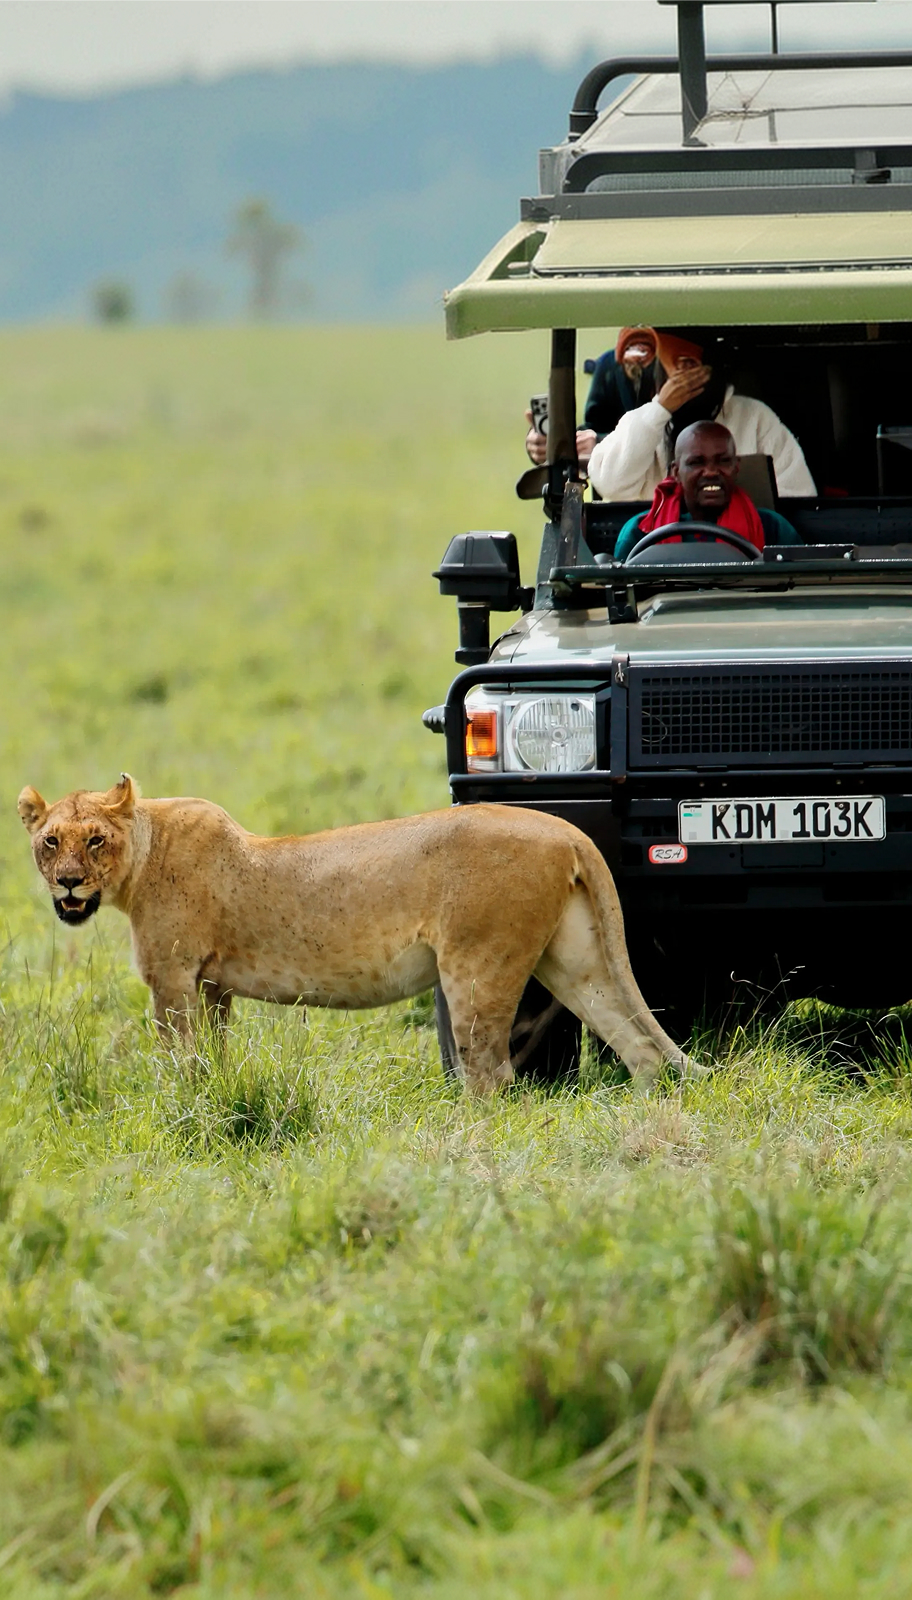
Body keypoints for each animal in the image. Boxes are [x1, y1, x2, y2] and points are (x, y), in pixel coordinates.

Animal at [17, 775, 699, 1093]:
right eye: (50, 840)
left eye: (95, 840)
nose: (70, 883)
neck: (141, 855)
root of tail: (566, 830)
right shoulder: (212, 985)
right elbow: (211, 1061)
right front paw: (209, 1101)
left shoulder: (174, 978)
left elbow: (176, 1062)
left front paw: (175, 1109)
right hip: (573, 958)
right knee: (638, 1047)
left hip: (477, 966)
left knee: (489, 1072)